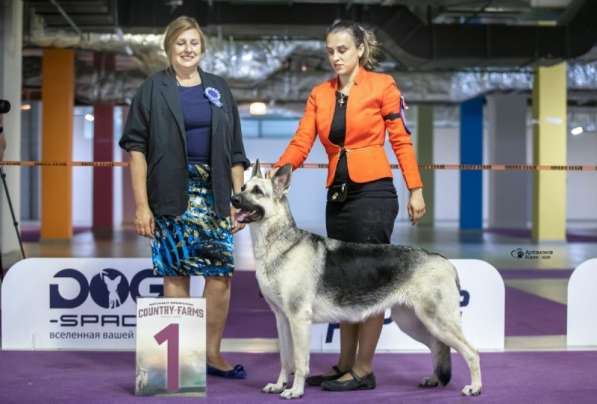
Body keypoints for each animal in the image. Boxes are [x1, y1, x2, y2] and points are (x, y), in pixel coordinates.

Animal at [230, 163, 482, 400]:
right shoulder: (282, 320)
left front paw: (295, 391)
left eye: (257, 191)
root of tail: (445, 261)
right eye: (242, 187)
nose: (233, 199)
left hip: (436, 322)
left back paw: (475, 387)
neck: (281, 245)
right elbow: (285, 360)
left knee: (471, 352)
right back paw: (434, 379)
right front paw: (279, 385)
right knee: (438, 347)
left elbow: (300, 362)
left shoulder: (299, 320)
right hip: (415, 323)